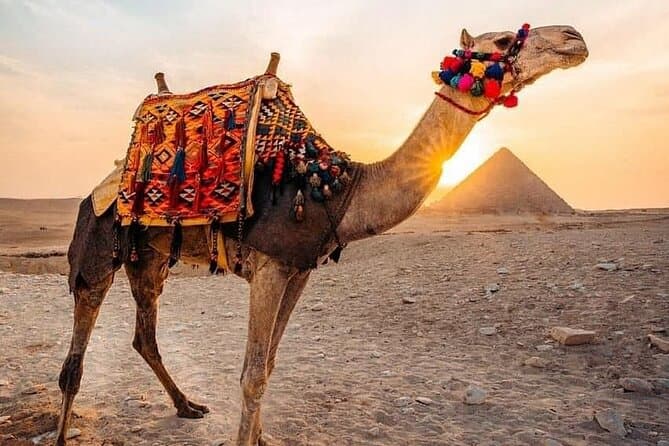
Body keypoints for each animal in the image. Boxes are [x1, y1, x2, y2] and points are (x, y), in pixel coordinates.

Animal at [56, 24, 588, 445]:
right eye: (502, 39)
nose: (574, 38)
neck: (339, 188)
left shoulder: (298, 269)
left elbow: (269, 365)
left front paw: (260, 437)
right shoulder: (269, 266)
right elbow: (252, 375)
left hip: (147, 257)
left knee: (144, 335)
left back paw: (188, 406)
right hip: (97, 242)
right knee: (76, 356)